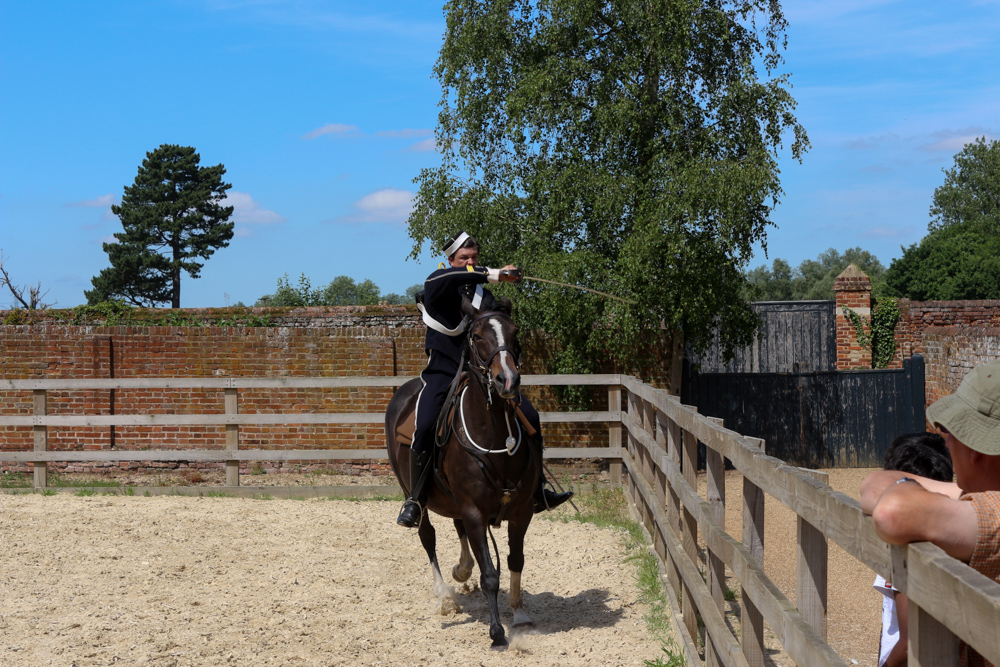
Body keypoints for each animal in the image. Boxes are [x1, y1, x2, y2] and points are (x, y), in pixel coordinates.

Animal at [384, 298, 540, 652]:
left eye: (515, 332)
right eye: (478, 336)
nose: (507, 380)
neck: (495, 434)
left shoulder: (521, 511)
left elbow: (516, 559)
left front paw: (519, 613)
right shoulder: (474, 511)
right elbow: (490, 575)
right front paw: (497, 632)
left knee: (458, 533)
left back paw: (461, 570)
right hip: (414, 494)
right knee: (427, 536)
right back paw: (445, 597)